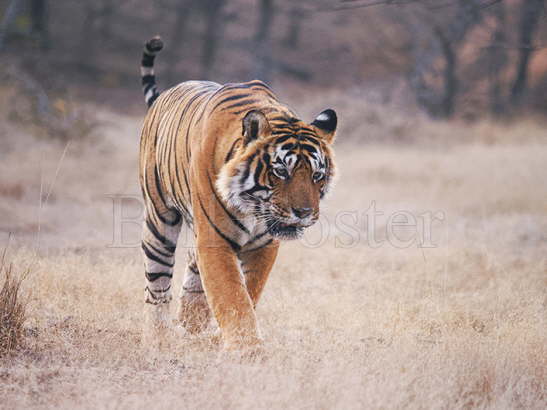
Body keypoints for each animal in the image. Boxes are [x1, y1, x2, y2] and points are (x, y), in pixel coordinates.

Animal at [138, 36, 338, 350]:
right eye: (281, 171)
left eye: (317, 175)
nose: (304, 213)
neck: (253, 208)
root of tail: (164, 95)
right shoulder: (214, 239)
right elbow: (231, 294)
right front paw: (247, 351)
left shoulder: (264, 244)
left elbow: (248, 290)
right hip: (160, 220)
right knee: (157, 284)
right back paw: (158, 338)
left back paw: (191, 326)